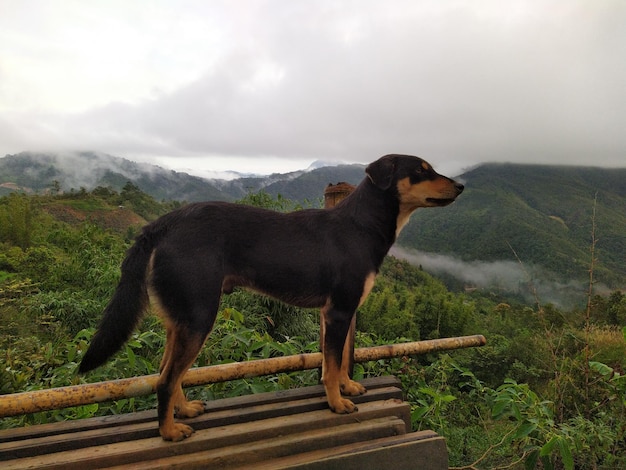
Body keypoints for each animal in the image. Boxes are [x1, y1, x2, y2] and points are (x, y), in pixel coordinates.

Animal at [78, 153, 460, 440]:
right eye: (421, 171)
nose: (461, 185)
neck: (360, 225)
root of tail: (162, 224)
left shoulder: (335, 314)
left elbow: (334, 363)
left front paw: (347, 388)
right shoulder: (339, 312)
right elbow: (332, 365)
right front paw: (337, 403)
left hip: (182, 318)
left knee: (166, 373)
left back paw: (183, 411)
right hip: (200, 316)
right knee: (165, 379)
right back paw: (169, 432)